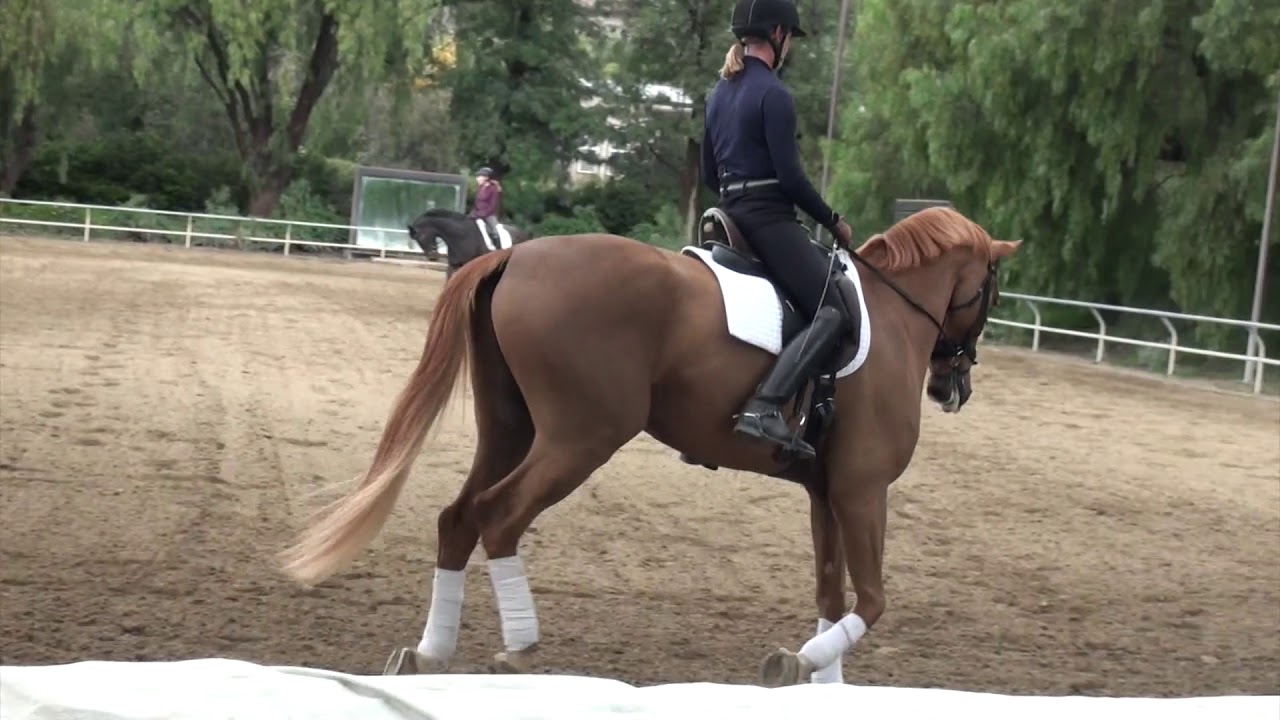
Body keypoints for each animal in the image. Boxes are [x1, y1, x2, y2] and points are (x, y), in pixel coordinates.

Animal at [279, 205, 1021, 686]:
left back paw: (431, 653)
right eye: (990, 290)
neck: (893, 318)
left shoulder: (827, 491)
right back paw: (519, 646)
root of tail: (515, 253)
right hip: (581, 438)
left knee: (458, 517)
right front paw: (797, 666)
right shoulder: (864, 490)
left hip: (512, 430)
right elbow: (870, 600)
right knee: (499, 516)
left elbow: (830, 593)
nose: (954, 386)